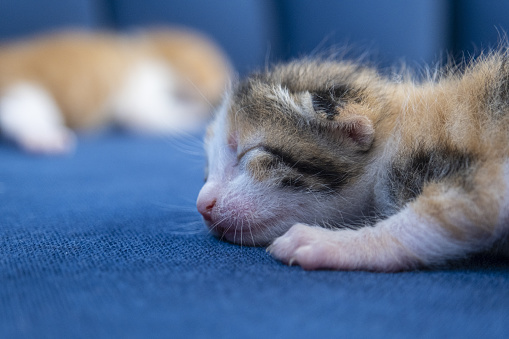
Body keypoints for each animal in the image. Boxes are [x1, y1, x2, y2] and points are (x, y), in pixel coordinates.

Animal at [0, 29, 230, 154]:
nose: (217, 92)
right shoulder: (140, 100)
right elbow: (153, 117)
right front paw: (198, 114)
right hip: (27, 91)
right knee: (17, 112)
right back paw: (44, 136)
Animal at [196, 51, 508, 272]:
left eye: (247, 152)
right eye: (206, 171)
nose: (202, 204)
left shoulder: (491, 171)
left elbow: (444, 214)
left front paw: (328, 242)